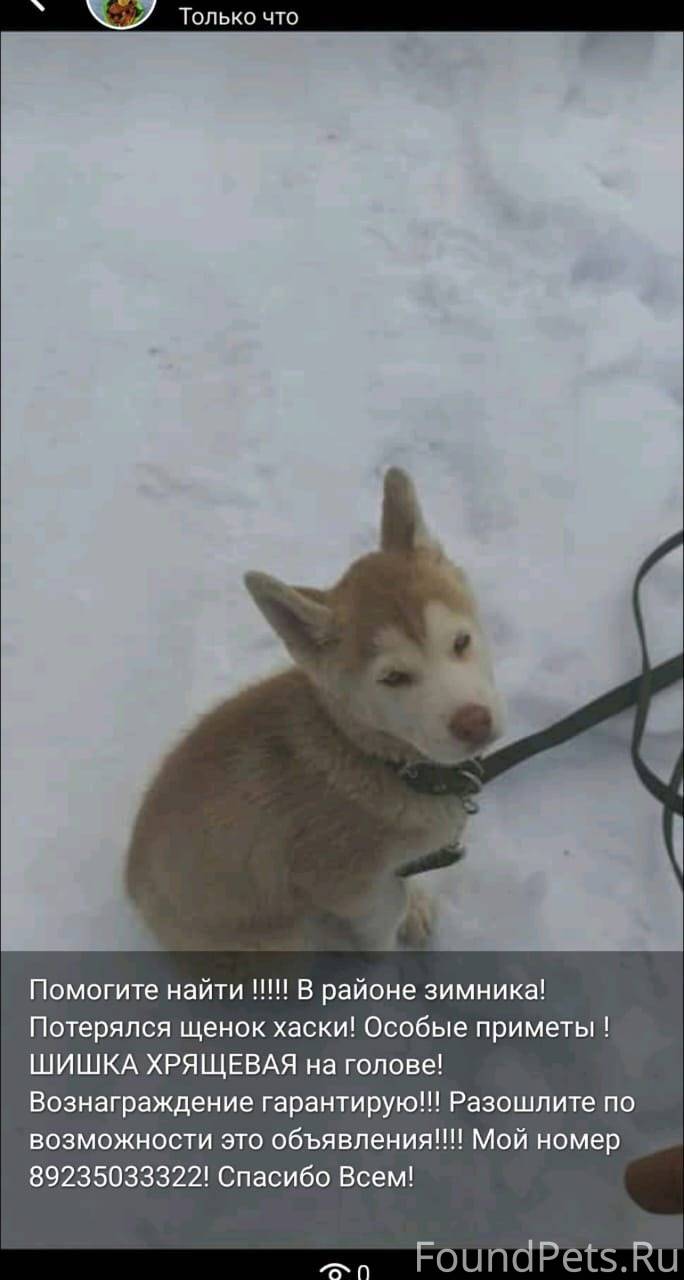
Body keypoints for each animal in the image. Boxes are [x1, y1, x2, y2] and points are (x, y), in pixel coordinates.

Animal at [127, 468, 504, 952]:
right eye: (393, 678)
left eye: (460, 642)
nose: (475, 723)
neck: (379, 760)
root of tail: (133, 889)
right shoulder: (350, 887)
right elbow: (383, 923)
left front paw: (416, 902)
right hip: (277, 937)